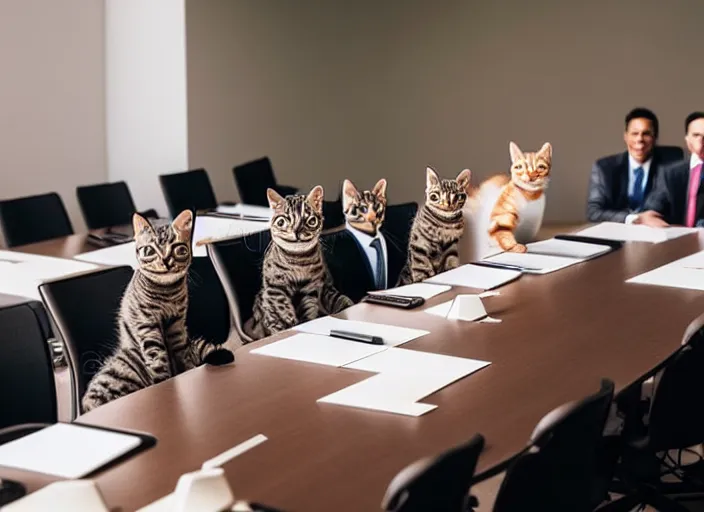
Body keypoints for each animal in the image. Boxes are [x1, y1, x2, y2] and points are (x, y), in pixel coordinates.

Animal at [80, 208, 234, 412]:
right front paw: (163, 381)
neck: (166, 293)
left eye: (178, 249)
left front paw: (188, 370)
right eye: (149, 251)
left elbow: (183, 355)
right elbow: (158, 358)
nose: (166, 261)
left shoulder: (177, 324)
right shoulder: (146, 325)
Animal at [248, 185, 354, 340]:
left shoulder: (310, 288)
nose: (297, 230)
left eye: (311, 221)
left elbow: (308, 309)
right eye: (282, 222)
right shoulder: (275, 288)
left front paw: (305, 322)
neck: (298, 261)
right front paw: (289, 324)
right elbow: (282, 308)